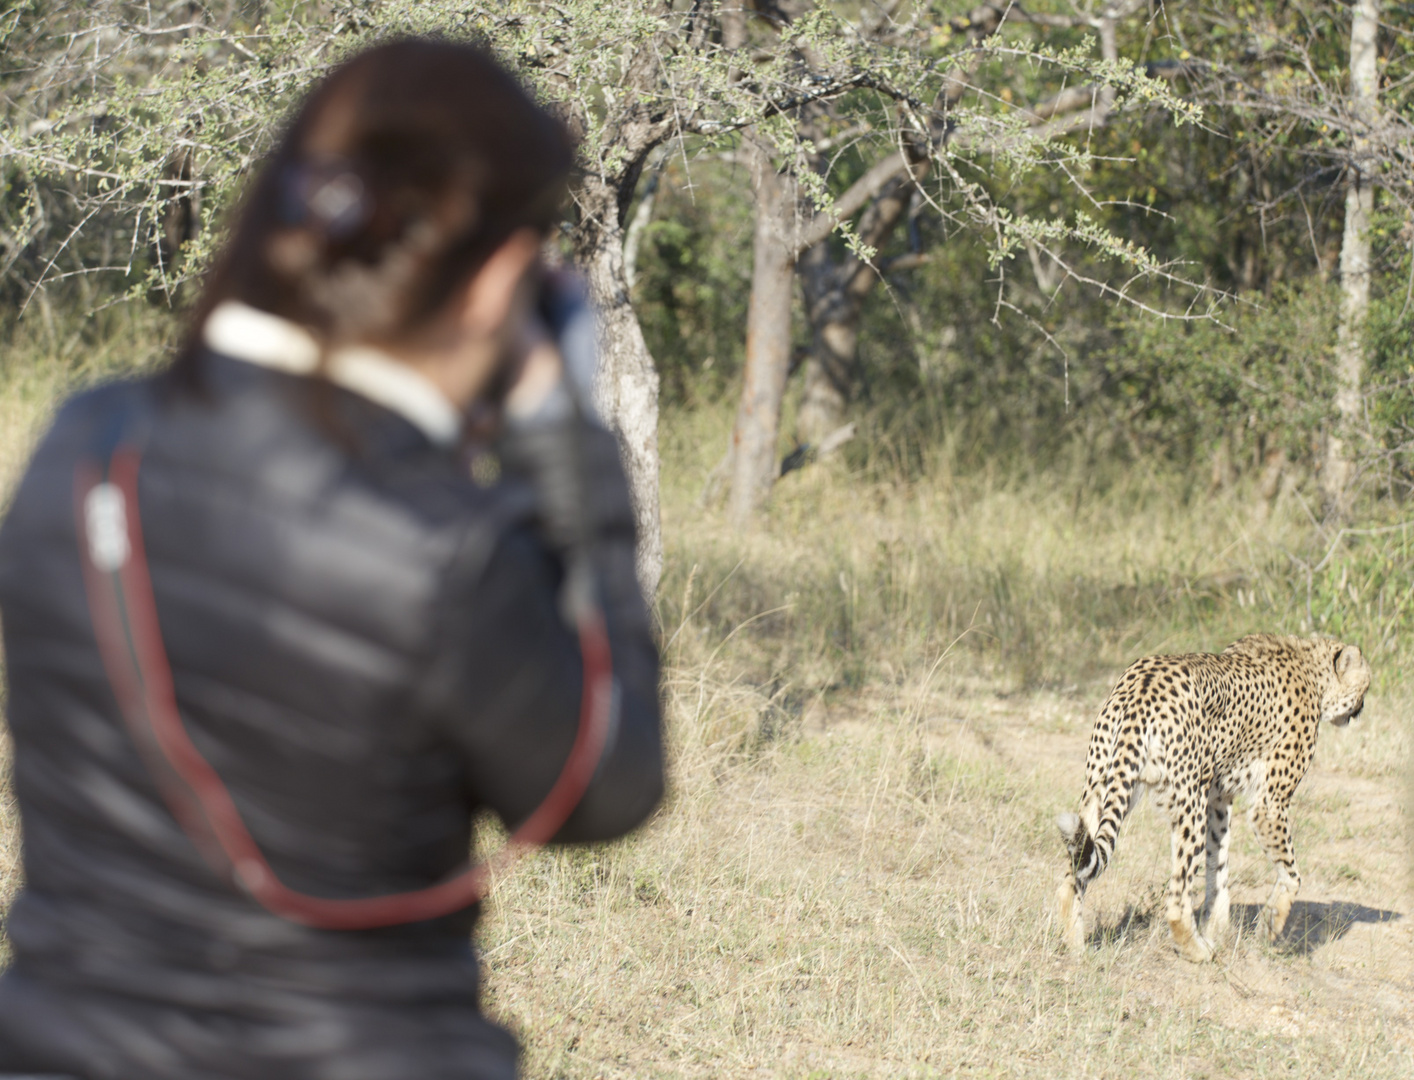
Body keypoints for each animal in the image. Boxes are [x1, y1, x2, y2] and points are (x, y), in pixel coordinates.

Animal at [1063, 633, 1368, 961]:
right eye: (1365, 685)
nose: (1362, 708)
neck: (1311, 666)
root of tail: (1143, 683)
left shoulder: (1219, 797)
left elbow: (1218, 863)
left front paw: (1217, 925)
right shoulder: (1269, 804)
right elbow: (1291, 873)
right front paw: (1269, 926)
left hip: (1102, 789)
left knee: (1074, 869)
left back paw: (1073, 944)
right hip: (1188, 804)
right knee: (1176, 896)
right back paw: (1196, 950)